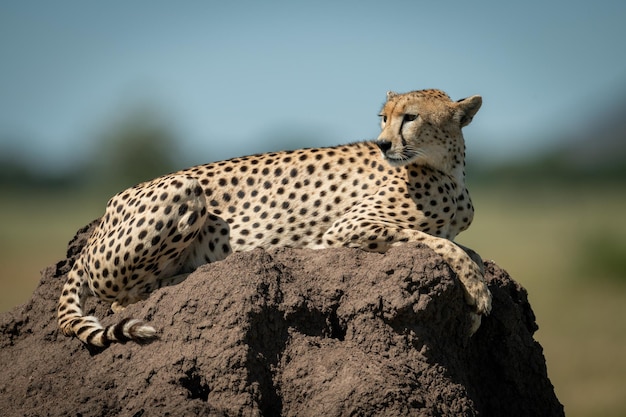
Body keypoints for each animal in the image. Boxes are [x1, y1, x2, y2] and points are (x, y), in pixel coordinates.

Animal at [56, 89, 490, 346]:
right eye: (384, 117)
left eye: (411, 117)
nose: (383, 144)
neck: (448, 168)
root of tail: (104, 215)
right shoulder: (345, 229)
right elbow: (439, 242)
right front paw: (478, 295)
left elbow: (462, 246)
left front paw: (477, 284)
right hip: (184, 188)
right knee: (121, 300)